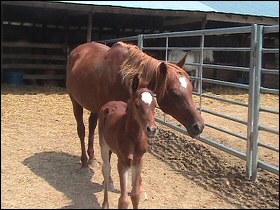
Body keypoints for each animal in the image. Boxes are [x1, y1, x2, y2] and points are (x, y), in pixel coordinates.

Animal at [98, 74, 158, 208]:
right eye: (137, 104)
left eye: (155, 105)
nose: (152, 129)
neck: (134, 138)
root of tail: (111, 102)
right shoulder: (123, 162)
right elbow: (123, 201)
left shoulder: (138, 161)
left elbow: (135, 196)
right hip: (103, 143)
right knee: (106, 168)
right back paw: (105, 204)